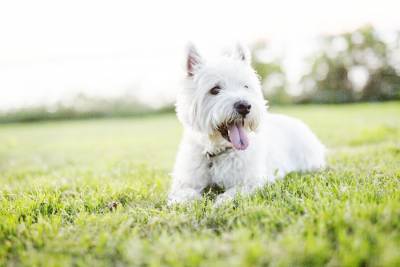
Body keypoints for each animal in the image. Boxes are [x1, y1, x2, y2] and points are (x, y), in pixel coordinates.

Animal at [167, 44, 326, 206]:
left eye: (245, 86)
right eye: (215, 89)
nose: (244, 106)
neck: (218, 152)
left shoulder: (253, 180)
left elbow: (233, 193)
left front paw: (219, 204)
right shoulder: (185, 181)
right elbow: (184, 194)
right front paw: (188, 202)